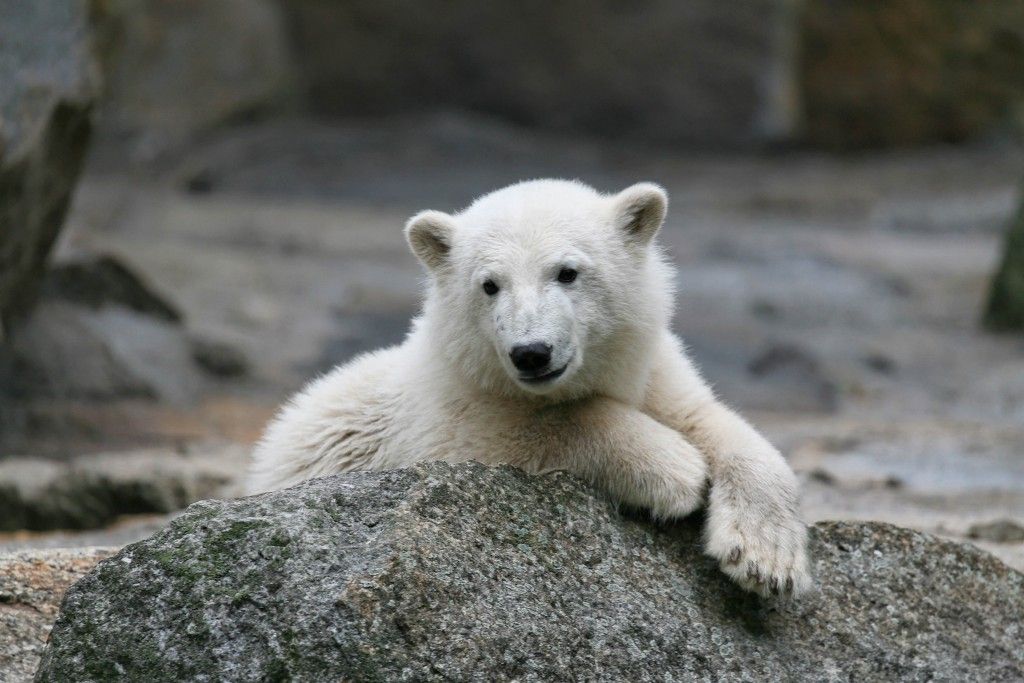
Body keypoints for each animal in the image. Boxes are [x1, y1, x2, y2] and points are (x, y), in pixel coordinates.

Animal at [247, 180, 806, 598]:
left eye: (568, 272)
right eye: (489, 285)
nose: (531, 352)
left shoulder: (653, 372)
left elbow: (710, 419)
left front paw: (766, 558)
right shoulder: (441, 419)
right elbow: (525, 429)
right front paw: (674, 471)